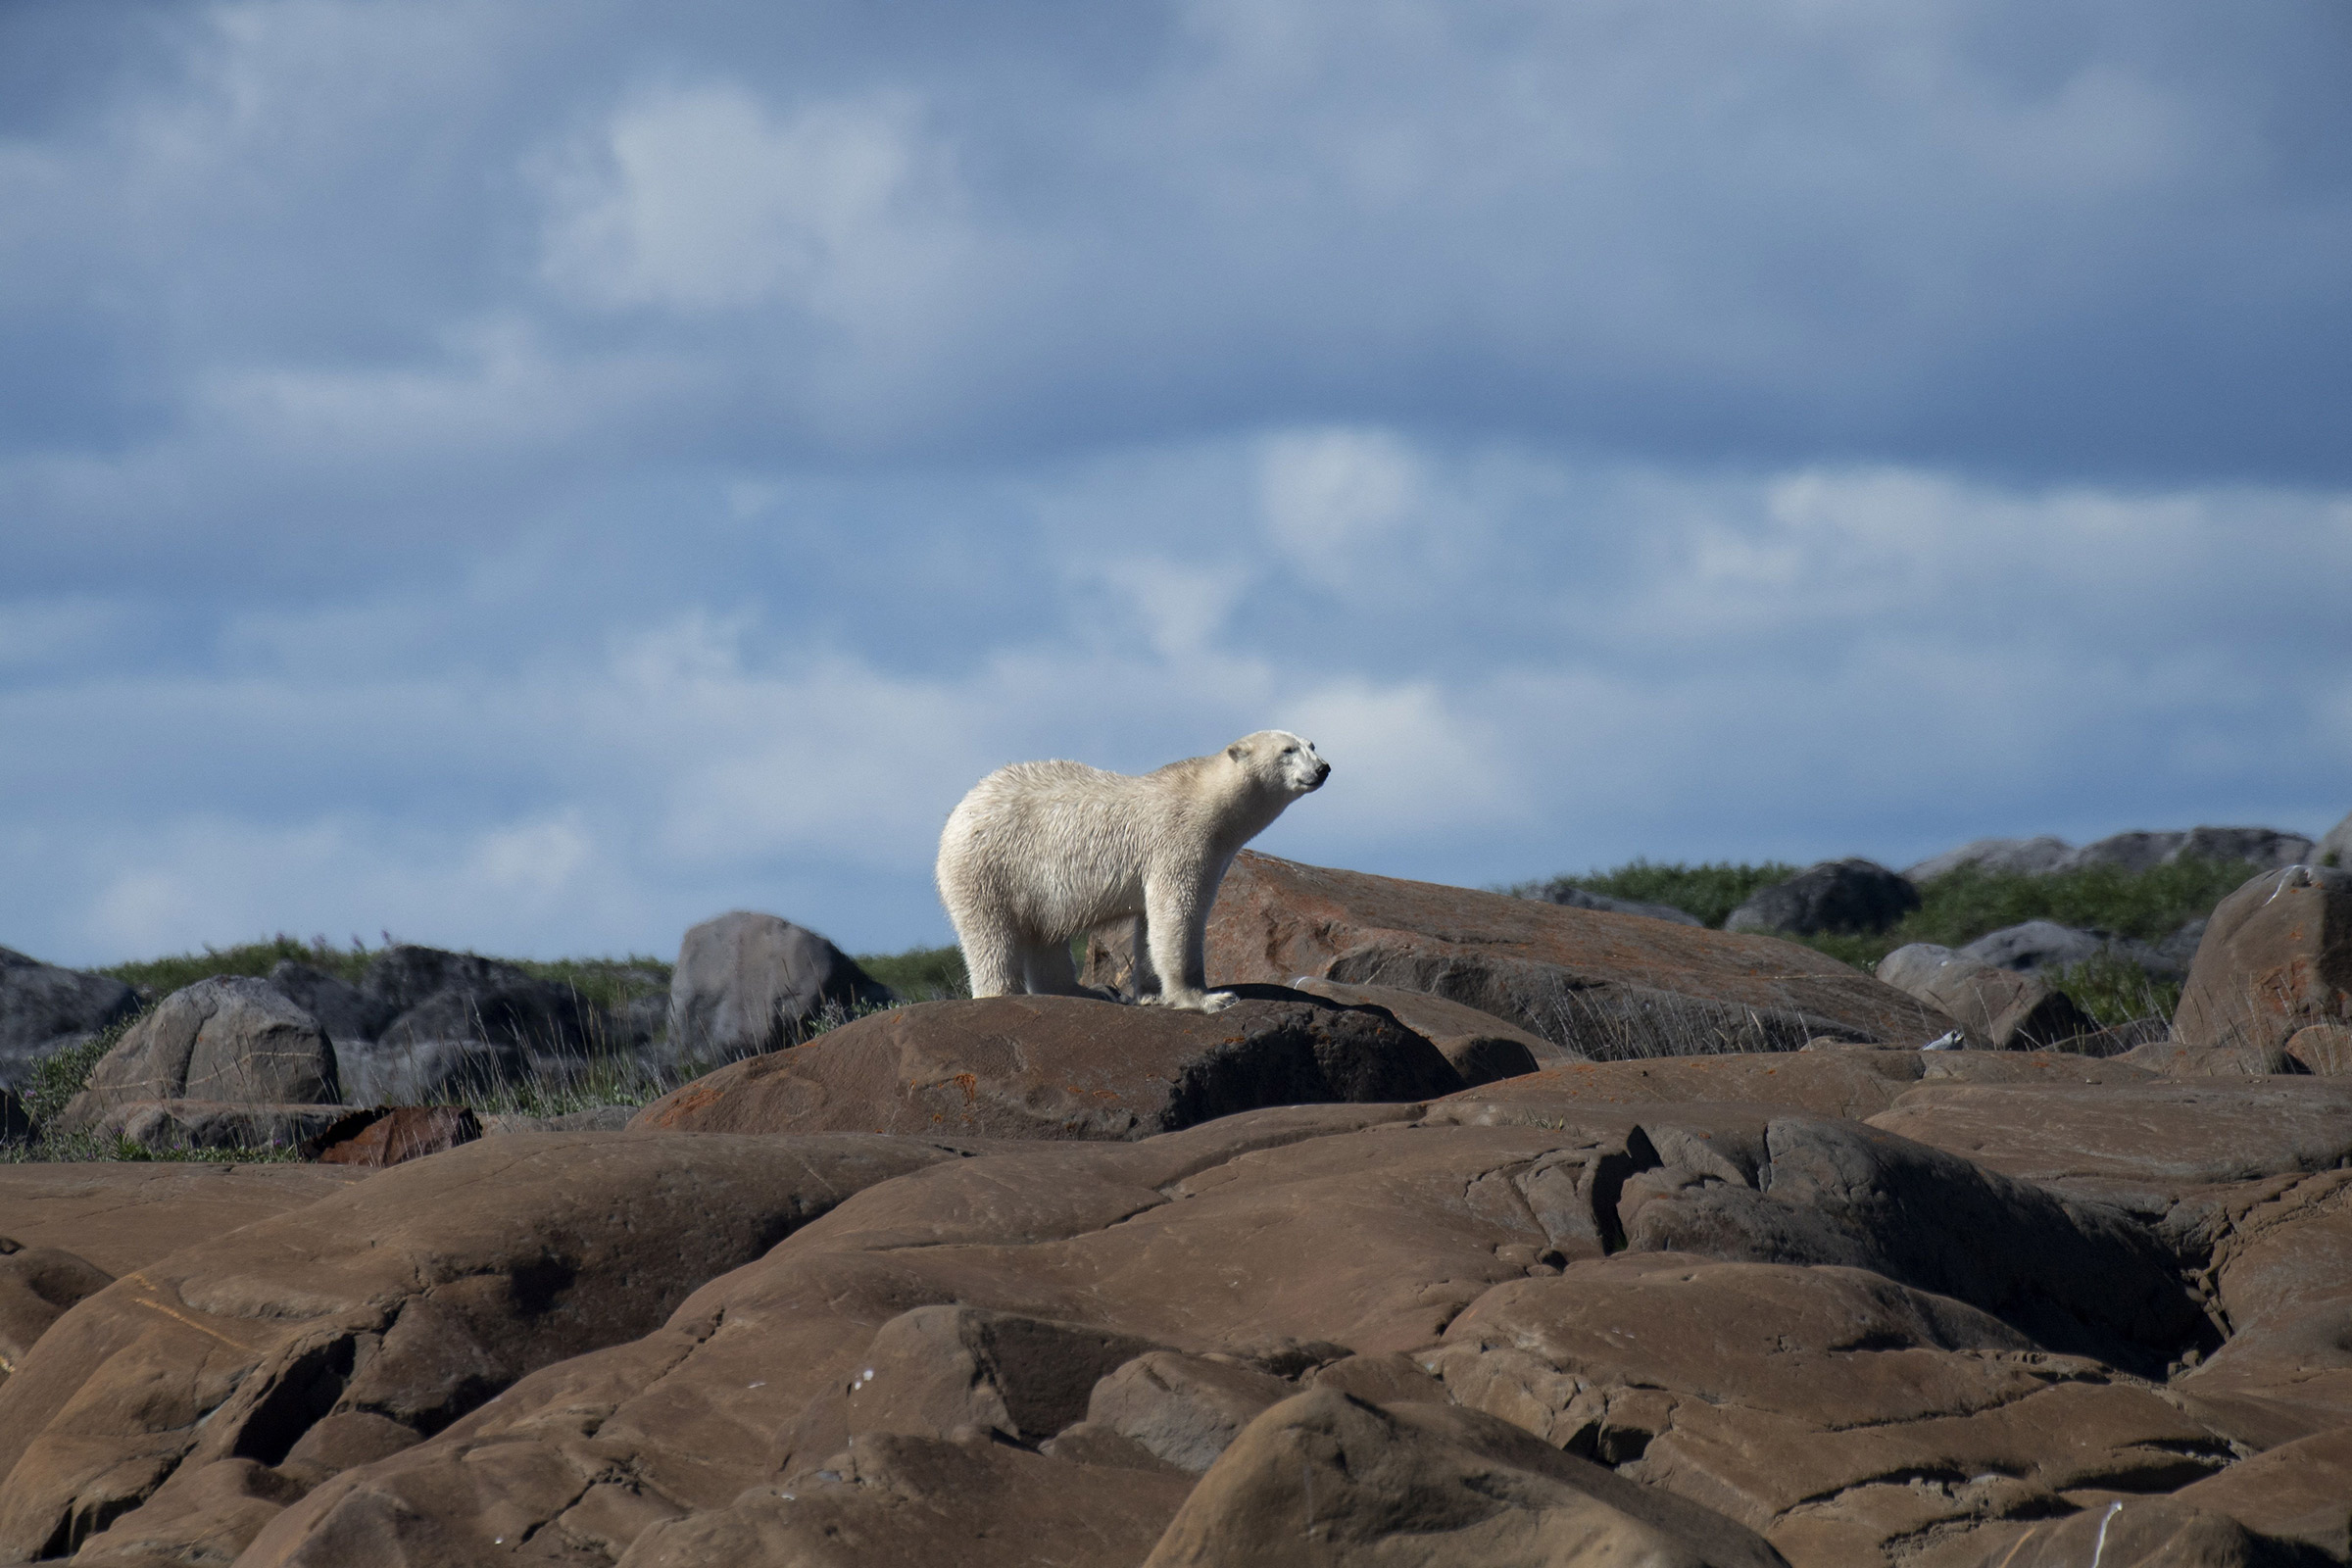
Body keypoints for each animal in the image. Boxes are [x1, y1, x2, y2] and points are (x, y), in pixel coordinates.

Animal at [945, 728, 1336, 1010]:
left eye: (1311, 744)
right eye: (1287, 750)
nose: (1323, 768)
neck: (1206, 799)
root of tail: (962, 808)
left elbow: (1150, 924)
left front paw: (1152, 994)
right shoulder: (1179, 841)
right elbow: (1178, 915)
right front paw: (1208, 997)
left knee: (1045, 937)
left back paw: (1090, 991)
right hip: (990, 866)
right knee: (992, 937)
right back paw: (1003, 994)